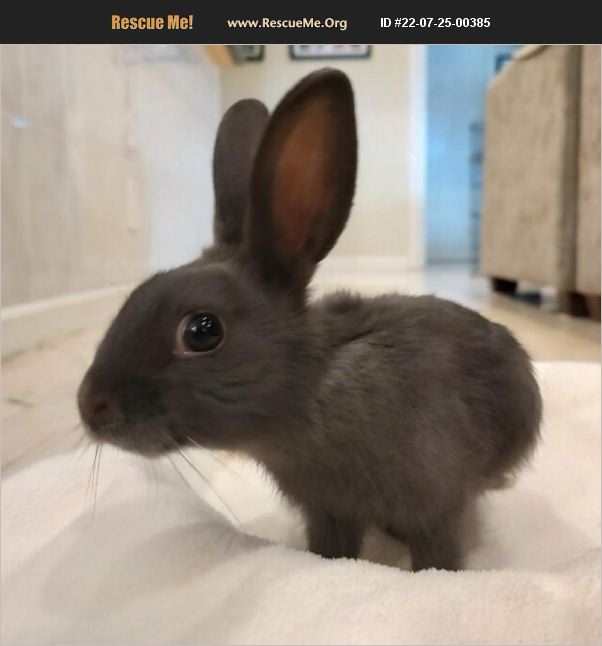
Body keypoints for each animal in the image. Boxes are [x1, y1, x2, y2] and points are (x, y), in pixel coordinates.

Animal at [78, 68, 542, 571]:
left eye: (202, 331)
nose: (91, 407)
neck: (308, 393)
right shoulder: (329, 510)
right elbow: (331, 550)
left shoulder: (433, 504)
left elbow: (437, 554)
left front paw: (436, 576)